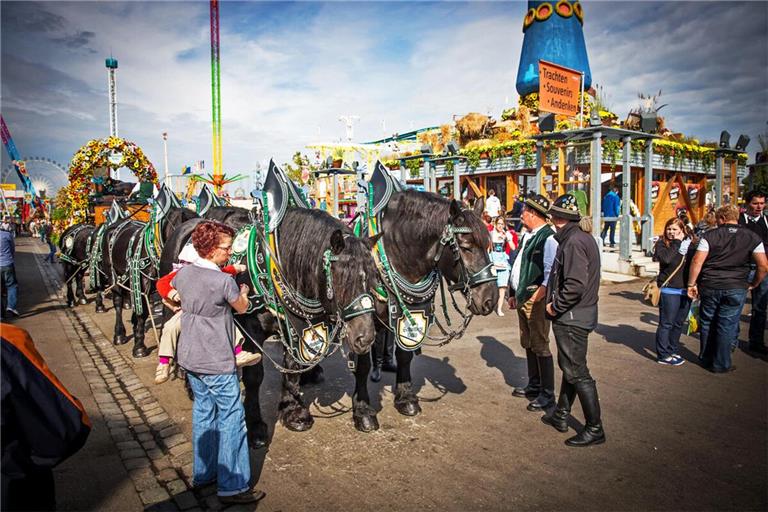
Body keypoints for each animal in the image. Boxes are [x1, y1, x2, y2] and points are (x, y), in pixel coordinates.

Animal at [159, 206, 380, 446]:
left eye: (373, 277)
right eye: (341, 278)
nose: (365, 338)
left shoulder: (293, 327)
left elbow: (292, 368)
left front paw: (293, 412)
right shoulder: (251, 331)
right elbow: (254, 377)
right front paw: (255, 425)